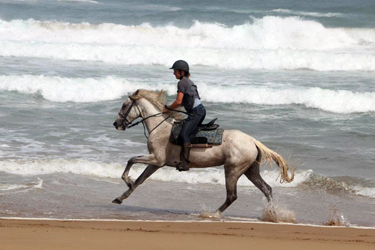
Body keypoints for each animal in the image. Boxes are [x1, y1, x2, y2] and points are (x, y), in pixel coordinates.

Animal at [113, 89, 296, 218]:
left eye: (124, 105)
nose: (116, 124)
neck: (160, 127)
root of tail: (253, 141)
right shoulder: (156, 164)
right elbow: (139, 180)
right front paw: (121, 197)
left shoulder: (156, 160)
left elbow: (131, 160)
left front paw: (127, 180)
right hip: (250, 171)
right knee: (267, 189)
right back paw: (273, 214)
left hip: (232, 171)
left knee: (232, 196)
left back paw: (213, 214)